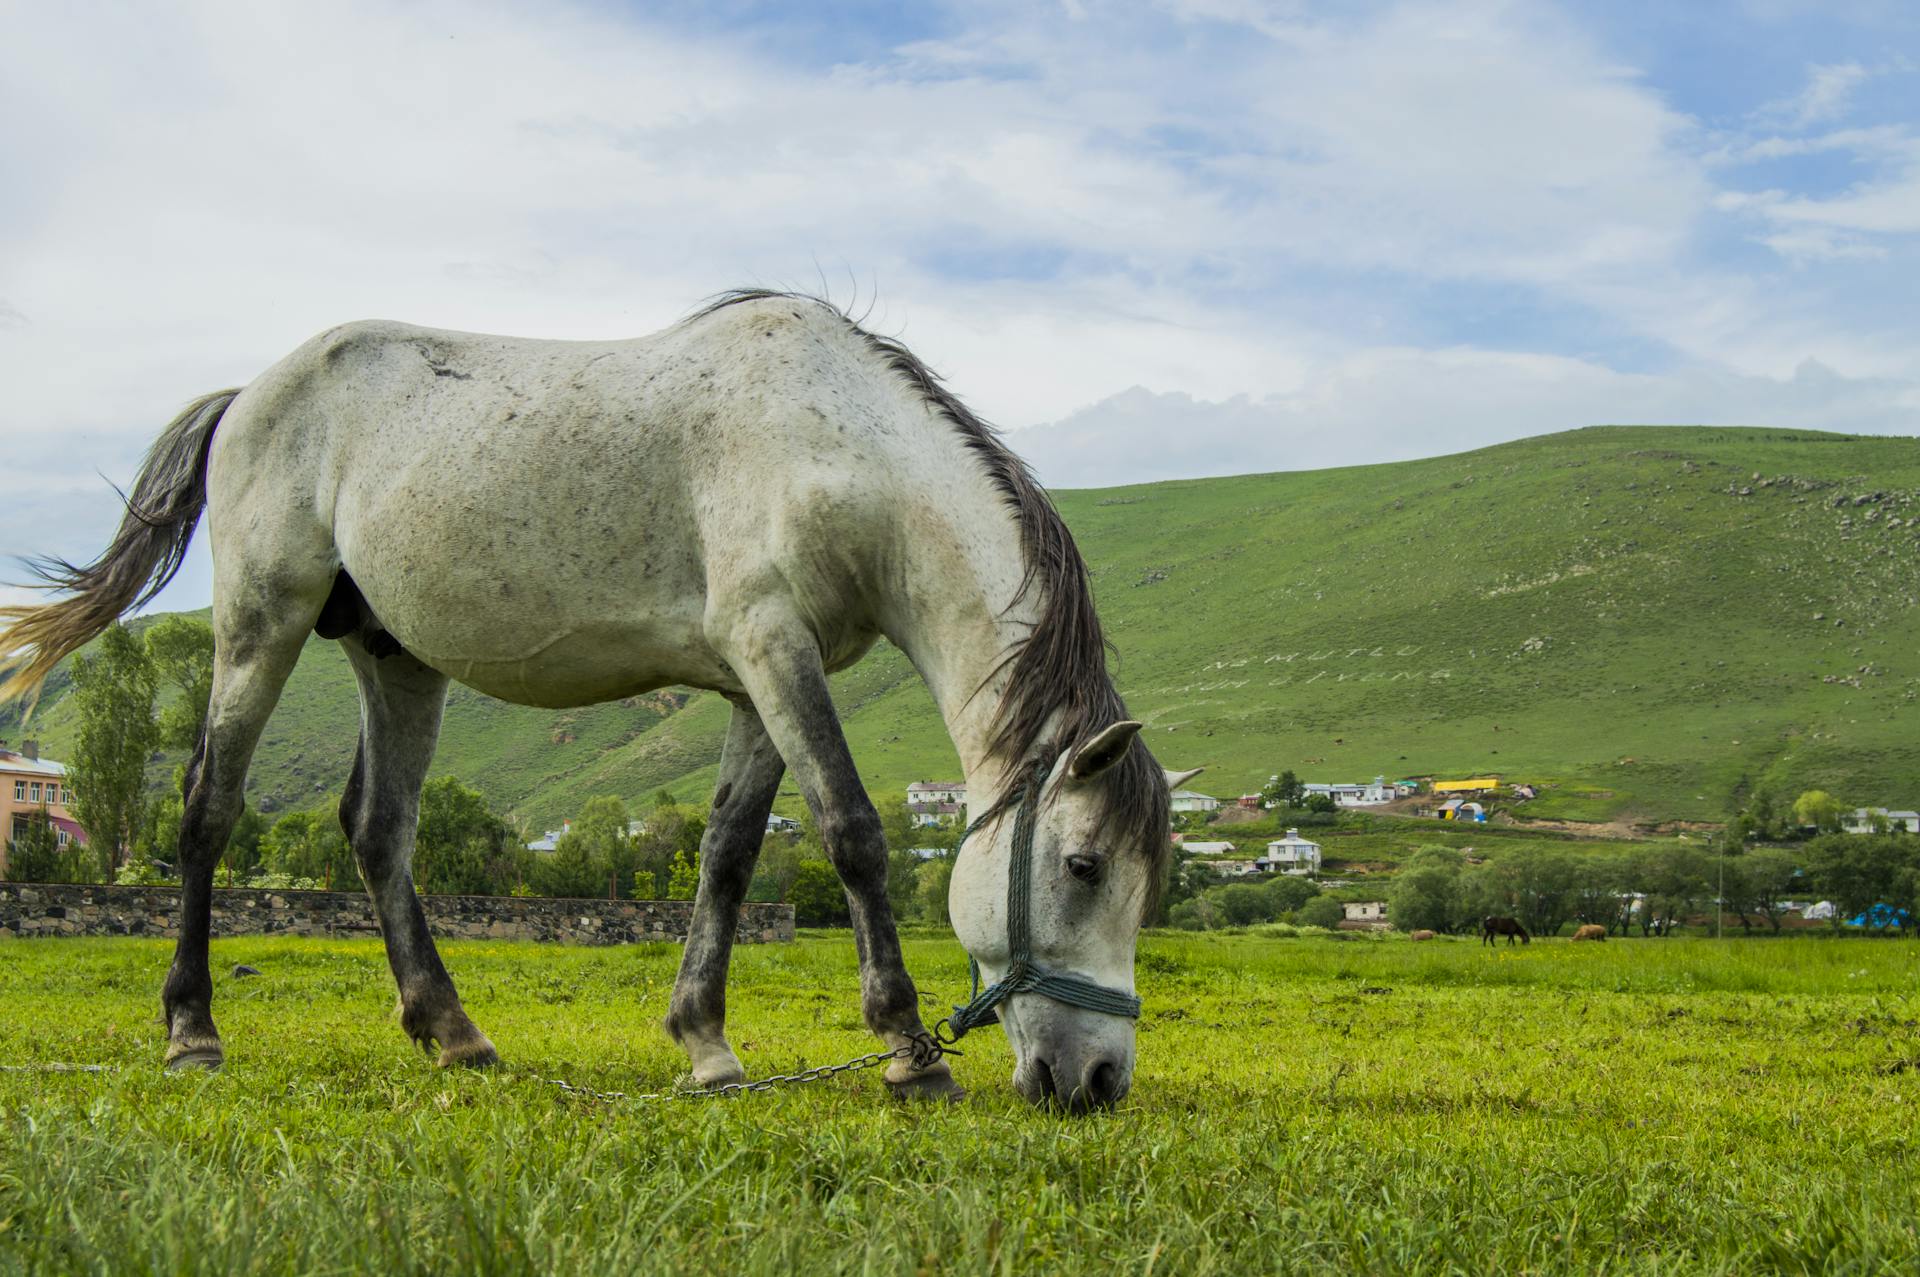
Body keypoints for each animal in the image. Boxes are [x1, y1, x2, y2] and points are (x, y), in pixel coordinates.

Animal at [3, 293, 1198, 1113]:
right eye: (1082, 865)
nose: (1097, 1079)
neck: (835, 443)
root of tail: (247, 396)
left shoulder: (761, 679)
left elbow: (729, 854)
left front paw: (706, 1043)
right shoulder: (776, 650)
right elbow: (852, 832)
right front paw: (908, 1050)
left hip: (398, 657)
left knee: (379, 829)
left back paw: (454, 1032)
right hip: (262, 623)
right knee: (208, 808)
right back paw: (192, 1030)